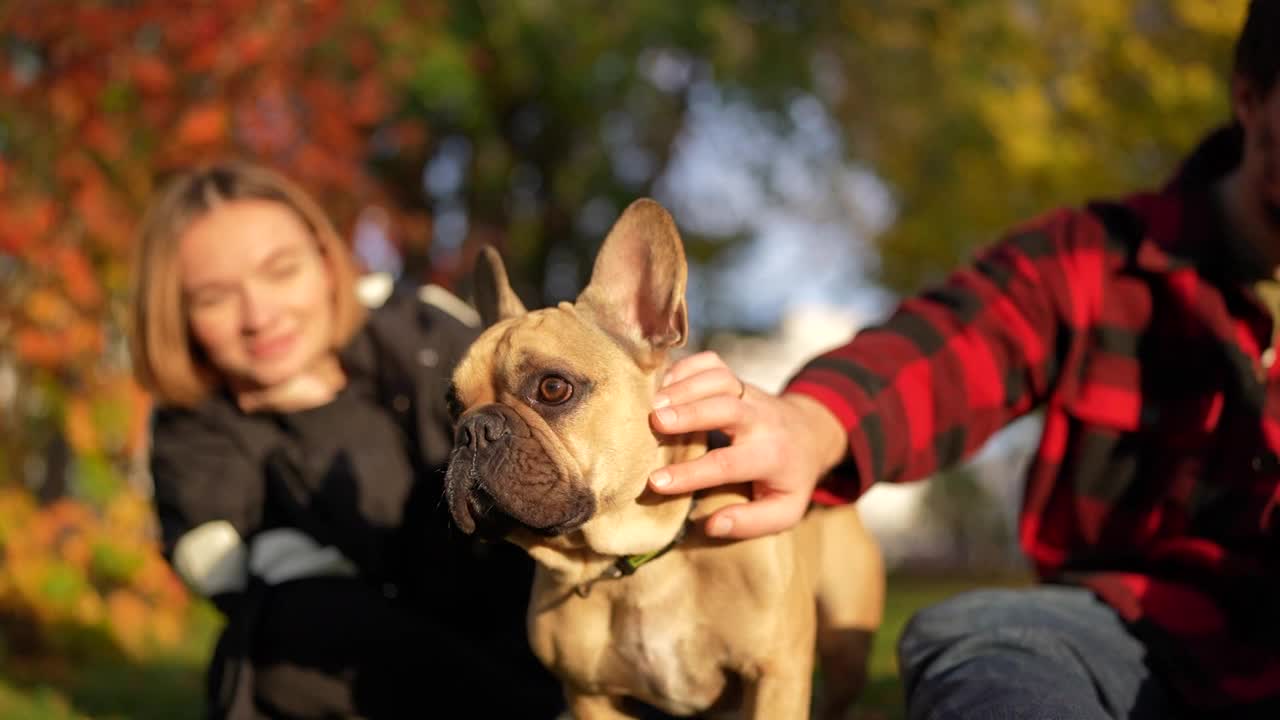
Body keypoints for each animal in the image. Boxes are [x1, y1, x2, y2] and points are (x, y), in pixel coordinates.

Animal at [442, 198, 880, 712]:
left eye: (553, 388)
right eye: (452, 405)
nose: (473, 430)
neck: (634, 561)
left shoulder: (776, 676)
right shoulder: (591, 697)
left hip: (845, 652)